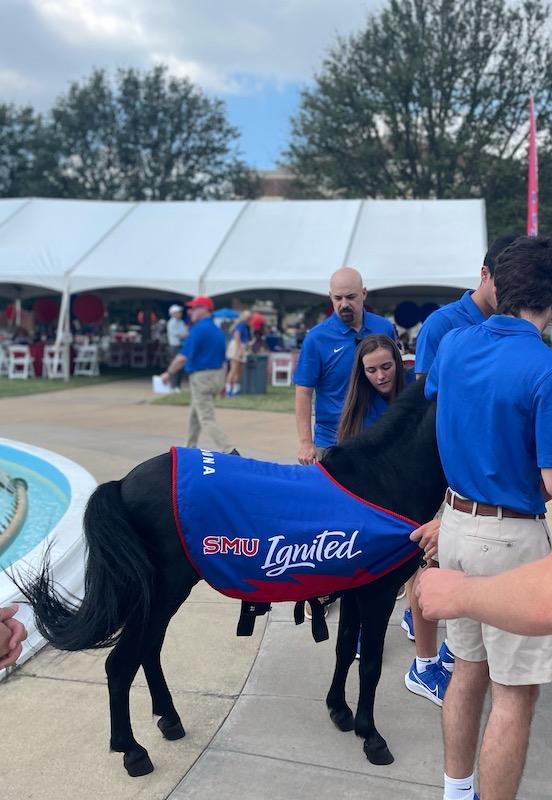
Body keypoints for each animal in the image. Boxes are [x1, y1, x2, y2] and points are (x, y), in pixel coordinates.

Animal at [19, 378, 446, 780]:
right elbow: (369, 663)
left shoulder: (358, 588)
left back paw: (169, 719)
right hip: (161, 592)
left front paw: (340, 712)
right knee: (121, 664)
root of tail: (123, 484)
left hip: (163, 597)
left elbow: (344, 650)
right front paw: (371, 737)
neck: (382, 479)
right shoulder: (378, 593)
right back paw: (132, 751)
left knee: (148, 651)